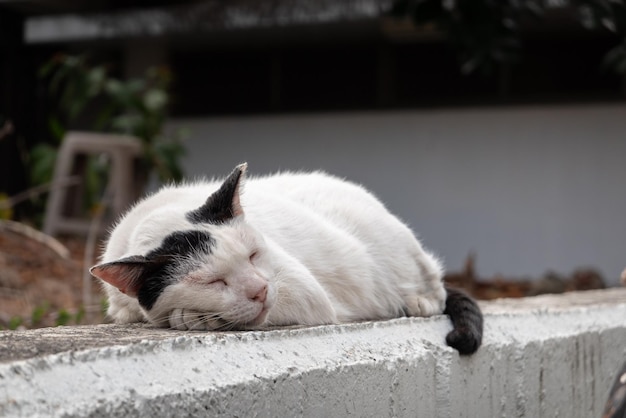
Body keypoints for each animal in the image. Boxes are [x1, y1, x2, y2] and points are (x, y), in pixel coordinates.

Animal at [90, 162, 482, 352]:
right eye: (213, 281)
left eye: (253, 256)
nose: (260, 290)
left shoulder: (300, 289)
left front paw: (191, 317)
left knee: (436, 287)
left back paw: (418, 300)